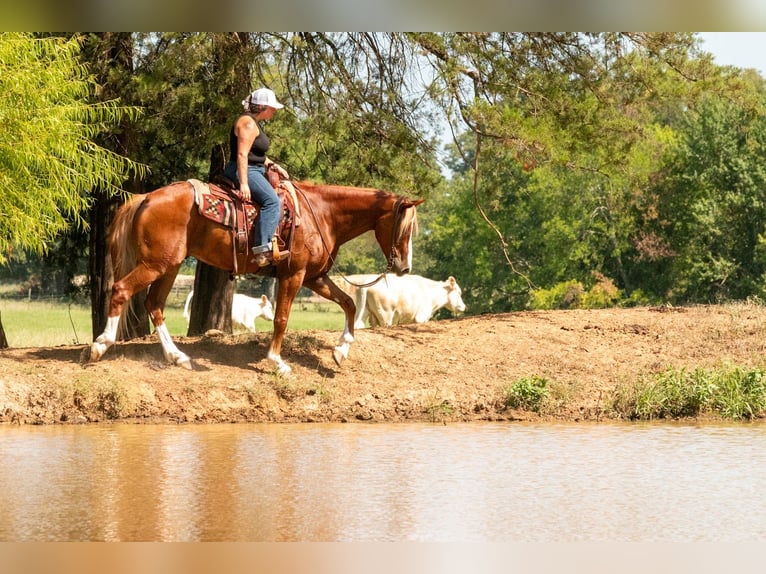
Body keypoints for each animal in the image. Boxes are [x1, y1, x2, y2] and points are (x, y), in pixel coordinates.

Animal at [88, 179, 423, 374]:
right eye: (405, 228)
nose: (404, 267)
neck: (322, 213)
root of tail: (145, 197)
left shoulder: (314, 277)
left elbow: (349, 305)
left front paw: (341, 351)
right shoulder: (293, 275)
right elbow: (282, 318)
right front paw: (277, 361)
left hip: (168, 266)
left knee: (154, 305)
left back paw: (178, 357)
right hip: (156, 264)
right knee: (121, 290)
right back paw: (100, 345)